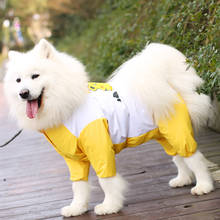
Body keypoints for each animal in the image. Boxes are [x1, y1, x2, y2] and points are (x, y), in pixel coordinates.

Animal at [3, 39, 214, 217]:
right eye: (18, 81)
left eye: (35, 76)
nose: (23, 93)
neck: (68, 103)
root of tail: (172, 87)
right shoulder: (73, 158)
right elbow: (78, 186)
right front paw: (77, 208)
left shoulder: (100, 149)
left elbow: (106, 181)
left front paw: (109, 206)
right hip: (165, 135)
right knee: (178, 158)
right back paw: (182, 180)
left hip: (177, 133)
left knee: (194, 157)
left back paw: (203, 186)